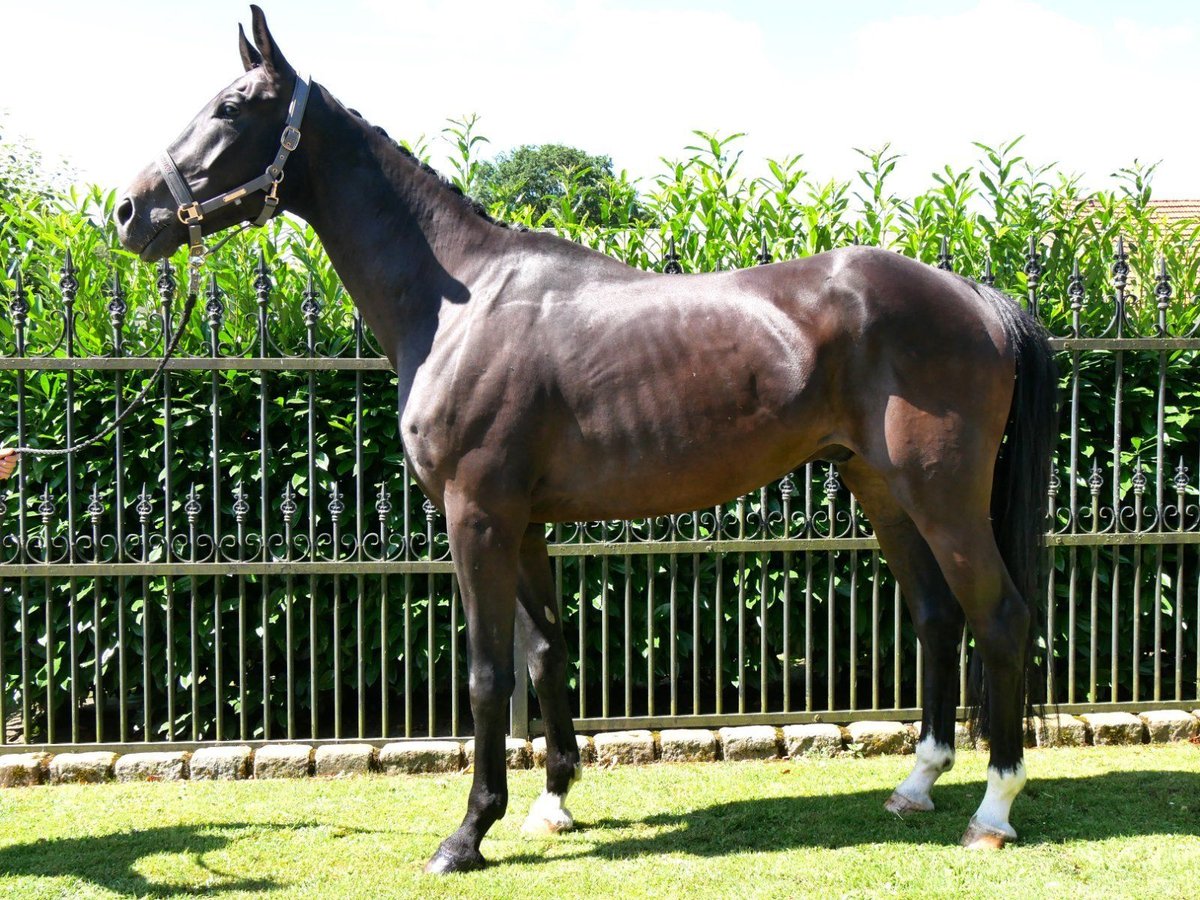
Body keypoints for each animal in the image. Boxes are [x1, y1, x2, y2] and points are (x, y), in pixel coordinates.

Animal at [119, 7, 1060, 878]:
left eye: (232, 107)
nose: (129, 211)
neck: (460, 301)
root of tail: (975, 296)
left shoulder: (477, 516)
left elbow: (488, 675)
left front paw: (467, 835)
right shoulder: (526, 523)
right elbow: (545, 653)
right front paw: (552, 803)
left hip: (942, 497)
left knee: (1002, 617)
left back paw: (992, 811)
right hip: (881, 489)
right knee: (938, 616)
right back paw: (917, 785)